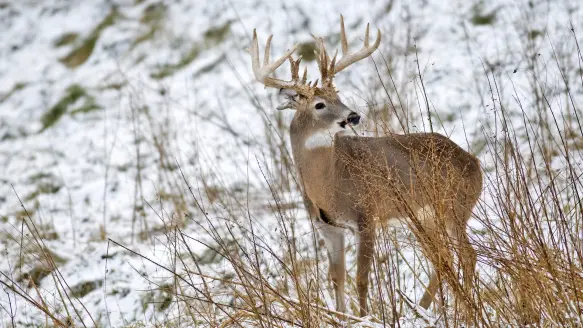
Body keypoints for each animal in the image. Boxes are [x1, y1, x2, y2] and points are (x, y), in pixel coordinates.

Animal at [251, 16, 484, 318]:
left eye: (338, 95)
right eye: (319, 104)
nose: (353, 116)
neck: (330, 184)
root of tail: (475, 162)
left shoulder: (367, 215)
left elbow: (361, 278)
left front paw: (365, 317)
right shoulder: (327, 227)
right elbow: (336, 277)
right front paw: (342, 317)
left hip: (455, 206)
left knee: (467, 254)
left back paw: (465, 311)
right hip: (425, 217)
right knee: (442, 260)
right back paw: (420, 310)